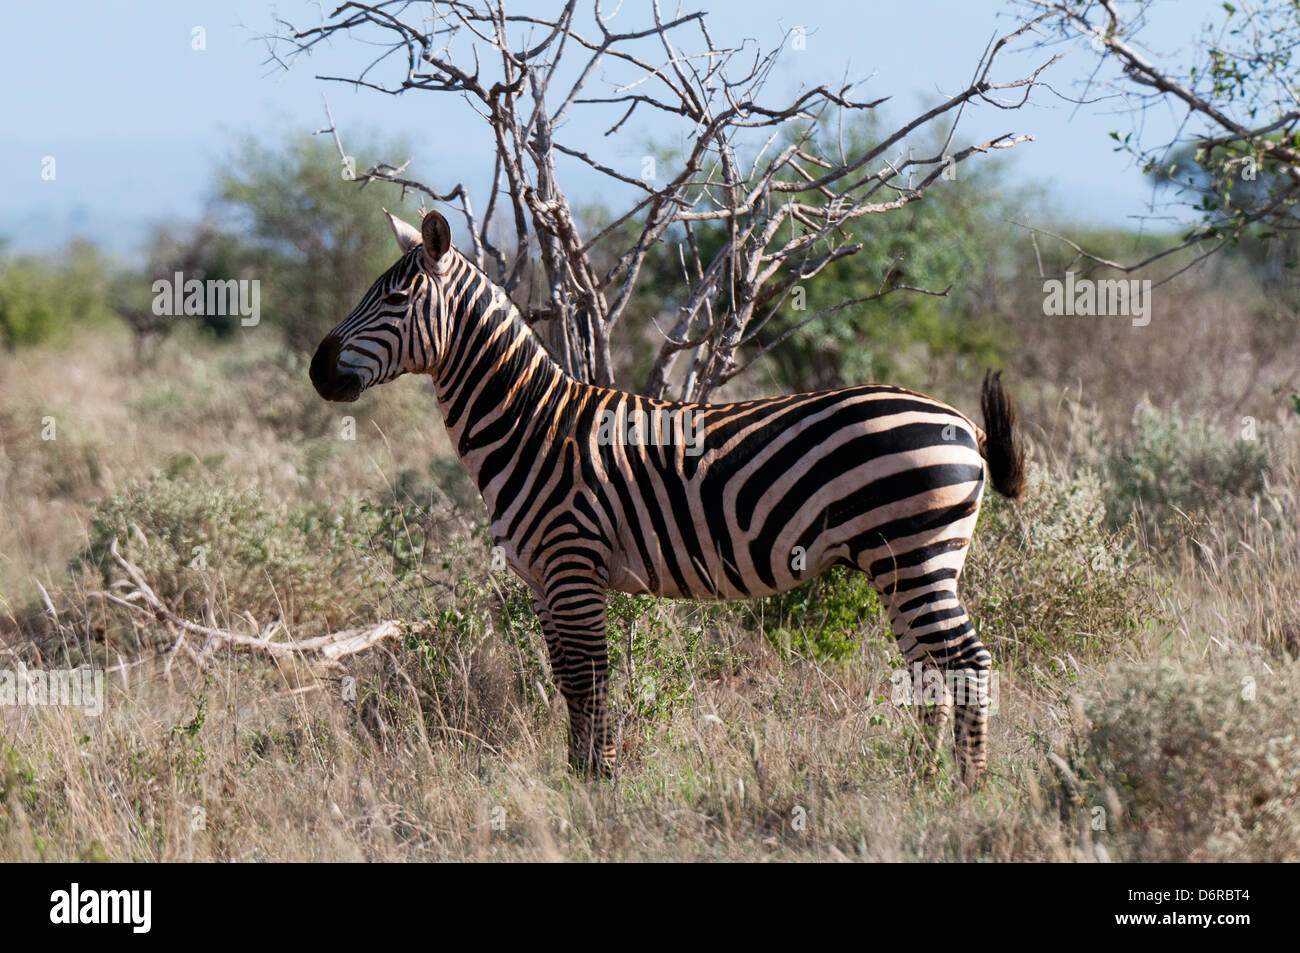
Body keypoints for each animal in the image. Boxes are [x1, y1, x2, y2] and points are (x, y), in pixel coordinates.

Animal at [310, 209, 1026, 786]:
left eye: (395, 298)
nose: (317, 371)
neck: (530, 425)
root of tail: (960, 421)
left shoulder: (573, 564)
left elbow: (588, 677)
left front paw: (599, 785)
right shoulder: (541, 578)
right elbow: (565, 677)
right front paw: (576, 778)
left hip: (916, 554)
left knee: (967, 661)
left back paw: (968, 791)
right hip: (900, 564)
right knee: (930, 667)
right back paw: (921, 782)